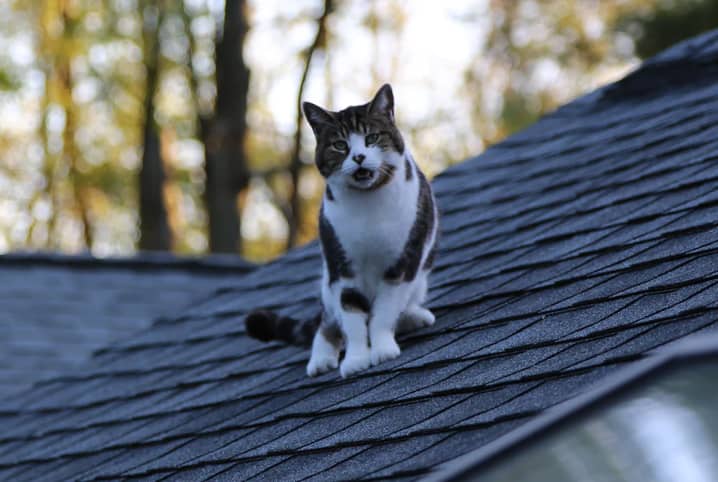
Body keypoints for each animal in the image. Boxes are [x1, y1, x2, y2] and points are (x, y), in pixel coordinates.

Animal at [246, 84, 438, 378]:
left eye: (372, 138)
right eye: (340, 145)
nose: (358, 157)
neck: (368, 204)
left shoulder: (404, 259)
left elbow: (385, 311)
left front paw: (382, 348)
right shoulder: (341, 265)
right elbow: (351, 313)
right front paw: (357, 359)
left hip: (419, 278)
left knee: (402, 303)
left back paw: (414, 316)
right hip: (327, 280)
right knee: (328, 320)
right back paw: (321, 357)